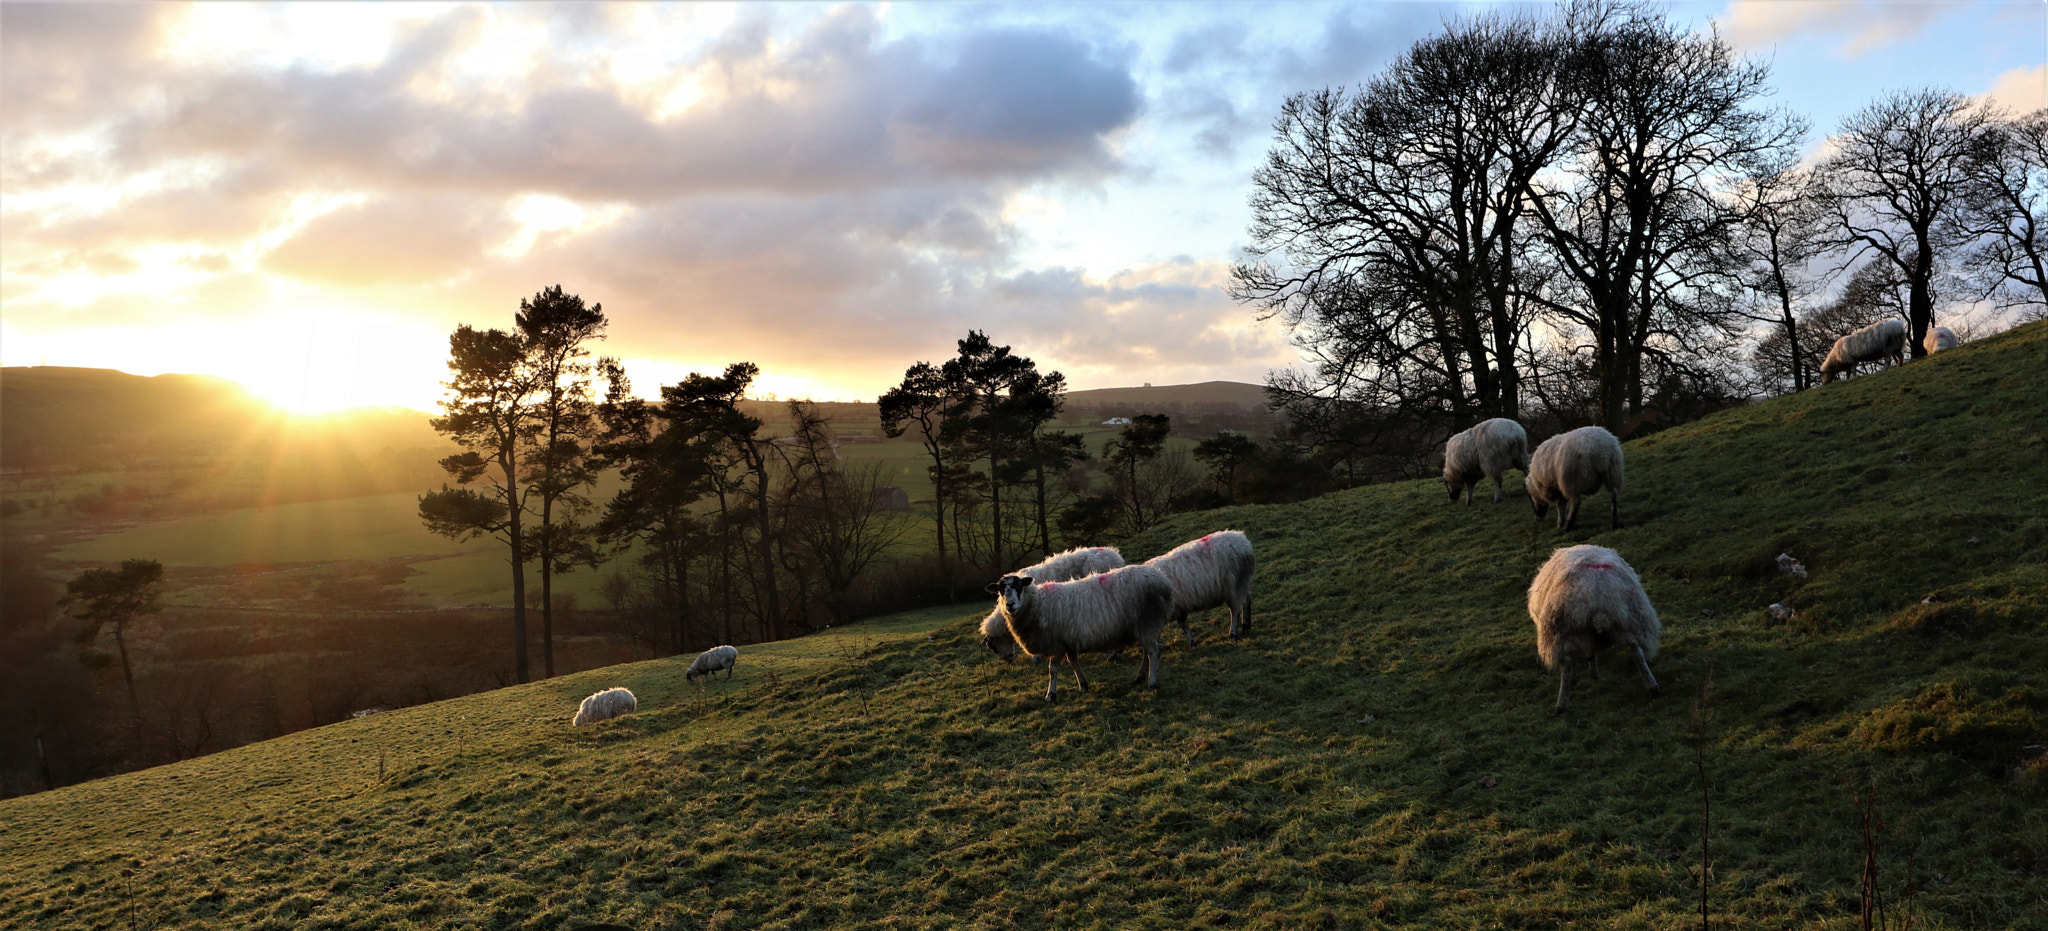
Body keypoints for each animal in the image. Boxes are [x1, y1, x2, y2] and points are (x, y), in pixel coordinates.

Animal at [987, 560, 1179, 707]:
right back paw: (1139, 677)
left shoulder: (1056, 643)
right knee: (1147, 652)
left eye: (1019, 586)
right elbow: (1074, 663)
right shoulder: (1067, 642)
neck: (1036, 603)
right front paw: (1083, 685)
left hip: (1148, 622)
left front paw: (1050, 695)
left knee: (1153, 652)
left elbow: (1053, 670)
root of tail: (1163, 581)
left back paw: (1152, 683)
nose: (1010, 605)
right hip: (1144, 627)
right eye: (1000, 590)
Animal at [1523, 548, 1662, 716]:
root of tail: (1597, 594)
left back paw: (1561, 704)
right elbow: (1593, 653)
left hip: (1563, 632)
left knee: (1567, 665)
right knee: (1637, 651)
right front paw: (1593, 673)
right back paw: (1652, 687)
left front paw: (1579, 677)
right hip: (1629, 621)